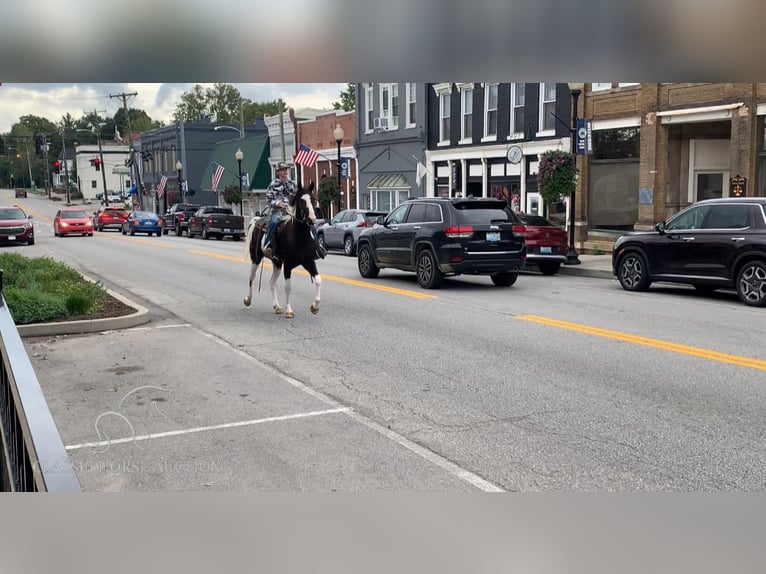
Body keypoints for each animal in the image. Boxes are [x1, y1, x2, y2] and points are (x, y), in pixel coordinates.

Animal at [243, 183, 320, 320]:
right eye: (301, 200)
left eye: (313, 199)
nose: (312, 219)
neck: (299, 236)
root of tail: (256, 221)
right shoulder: (288, 265)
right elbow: (288, 287)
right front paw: (289, 310)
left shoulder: (309, 262)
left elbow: (318, 280)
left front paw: (314, 307)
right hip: (256, 258)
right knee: (252, 277)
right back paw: (248, 299)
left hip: (277, 263)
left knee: (272, 283)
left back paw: (277, 306)